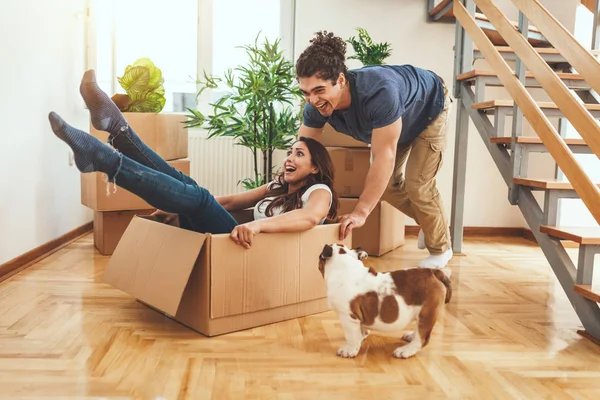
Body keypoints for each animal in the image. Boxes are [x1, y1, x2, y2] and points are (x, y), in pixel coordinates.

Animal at [318, 244, 450, 360]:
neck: (343, 266)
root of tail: (433, 273)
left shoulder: (348, 317)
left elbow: (351, 336)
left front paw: (349, 350)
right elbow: (360, 330)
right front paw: (362, 336)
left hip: (426, 312)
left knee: (422, 337)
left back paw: (405, 350)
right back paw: (411, 336)